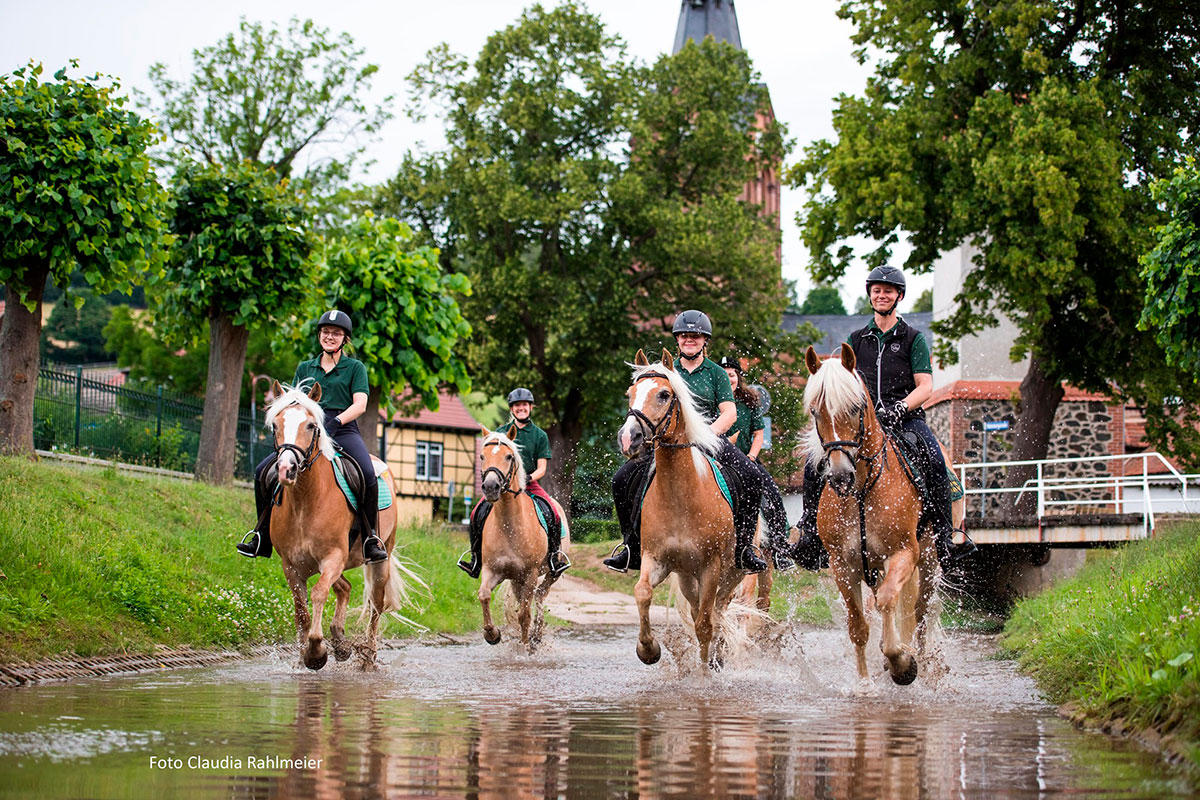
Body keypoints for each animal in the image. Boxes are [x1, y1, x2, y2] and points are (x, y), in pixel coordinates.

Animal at [265, 381, 410, 671]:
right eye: (275, 425)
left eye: (311, 425)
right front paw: (304, 657)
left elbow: (319, 593)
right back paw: (340, 642)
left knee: (376, 605)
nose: (287, 469)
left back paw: (367, 658)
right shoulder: (291, 566)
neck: (305, 501)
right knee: (345, 588)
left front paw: (316, 651)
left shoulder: (332, 558)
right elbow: (301, 608)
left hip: (380, 558)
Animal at [475, 424, 568, 652]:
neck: (510, 526)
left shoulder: (530, 574)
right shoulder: (492, 570)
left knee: (540, 595)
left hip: (550, 573)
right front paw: (492, 634)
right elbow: (484, 595)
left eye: (509, 456)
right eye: (482, 456)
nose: (490, 487)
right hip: (516, 580)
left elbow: (524, 615)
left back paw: (536, 636)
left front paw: (525, 649)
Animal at [619, 350, 748, 671]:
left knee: (716, 611)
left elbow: (704, 625)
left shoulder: (711, 568)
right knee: (700, 609)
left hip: (731, 573)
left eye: (664, 394)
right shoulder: (656, 559)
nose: (629, 438)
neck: (679, 496)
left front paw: (702, 672)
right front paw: (648, 649)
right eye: (630, 393)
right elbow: (642, 593)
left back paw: (716, 656)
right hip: (688, 577)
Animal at [801, 345, 940, 690]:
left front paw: (903, 665)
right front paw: (864, 684)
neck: (863, 490)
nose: (840, 476)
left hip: (928, 560)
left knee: (919, 612)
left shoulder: (903, 553)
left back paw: (920, 661)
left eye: (855, 407)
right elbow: (858, 624)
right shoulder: (843, 565)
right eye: (815, 411)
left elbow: (889, 601)